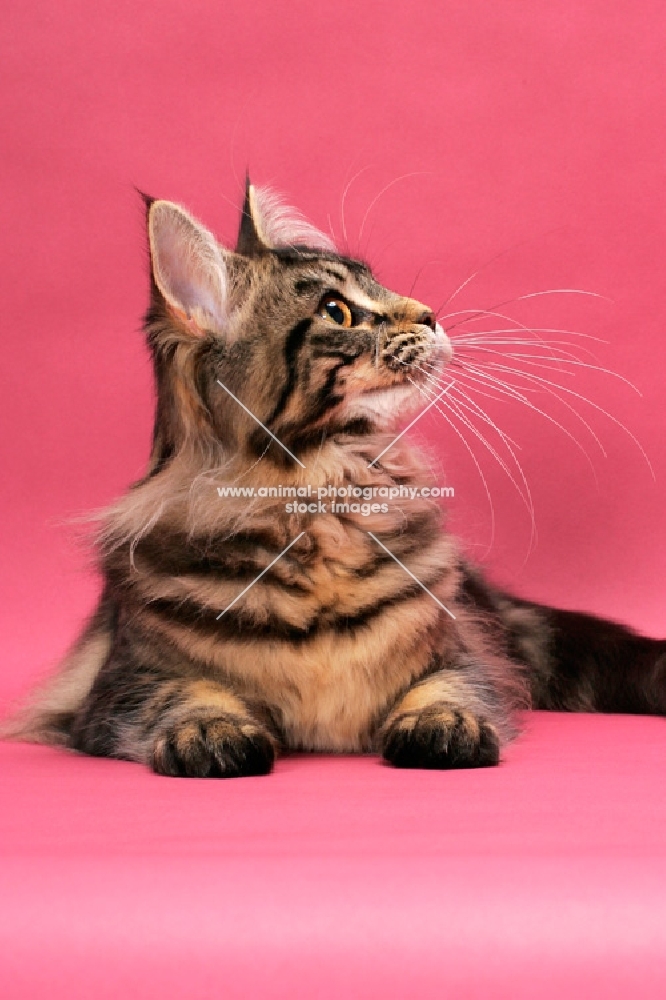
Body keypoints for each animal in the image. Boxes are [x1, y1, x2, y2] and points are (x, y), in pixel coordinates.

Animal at [6, 178, 664, 772]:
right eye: (338, 312)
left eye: (379, 283)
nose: (432, 316)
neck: (316, 499)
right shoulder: (118, 687)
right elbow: (182, 694)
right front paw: (212, 732)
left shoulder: (467, 654)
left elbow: (449, 687)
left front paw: (443, 727)